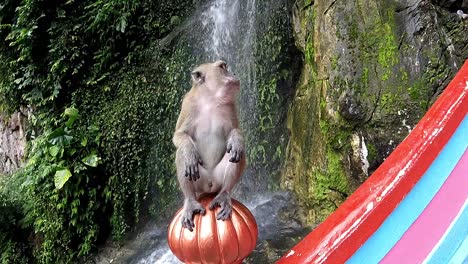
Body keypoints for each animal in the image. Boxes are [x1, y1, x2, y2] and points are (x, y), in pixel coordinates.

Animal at [171, 59, 245, 231]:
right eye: (223, 67)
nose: (234, 73)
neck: (211, 100)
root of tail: (209, 188)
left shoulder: (230, 105)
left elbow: (234, 130)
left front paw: (236, 140)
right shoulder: (188, 105)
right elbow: (179, 136)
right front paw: (190, 152)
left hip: (218, 180)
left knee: (237, 154)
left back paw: (224, 195)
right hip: (200, 182)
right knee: (181, 154)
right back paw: (190, 201)